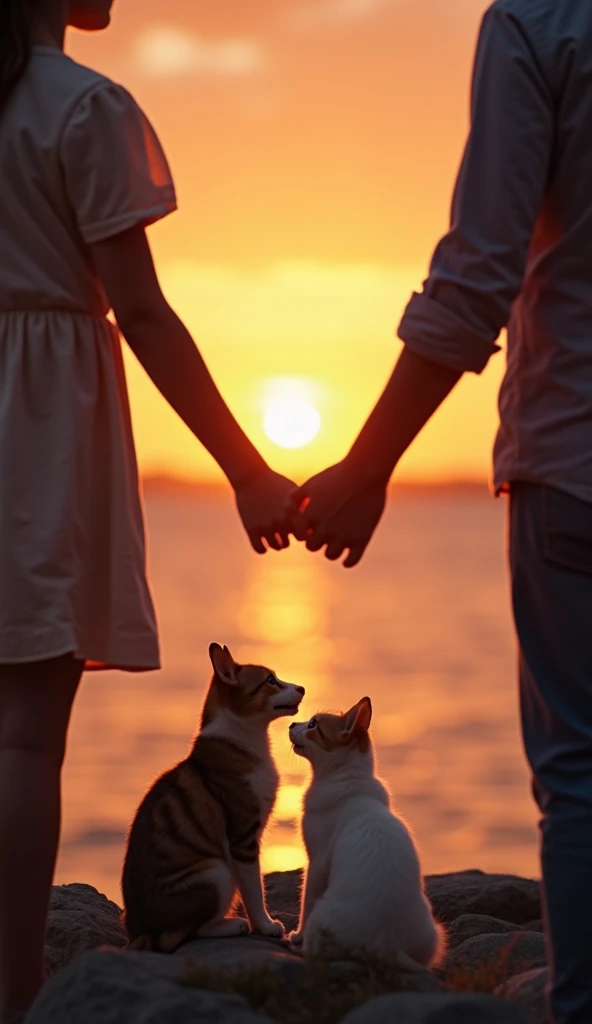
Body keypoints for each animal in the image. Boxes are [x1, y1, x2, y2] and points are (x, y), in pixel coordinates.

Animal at [288, 696, 444, 966]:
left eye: (313, 724)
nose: (291, 724)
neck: (349, 779)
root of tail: (389, 944)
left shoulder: (316, 861)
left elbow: (305, 900)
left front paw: (297, 935)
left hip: (321, 918)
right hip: (433, 931)